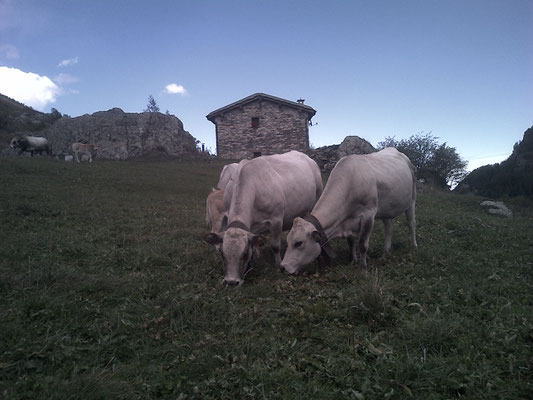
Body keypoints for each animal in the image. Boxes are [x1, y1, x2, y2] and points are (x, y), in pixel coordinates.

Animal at [203, 150, 320, 284]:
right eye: (222, 254)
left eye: (244, 254)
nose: (232, 282)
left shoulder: (276, 220)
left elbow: (275, 246)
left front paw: (278, 265)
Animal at [278, 147, 416, 276]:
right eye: (288, 241)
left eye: (298, 243)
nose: (282, 267)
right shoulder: (348, 219)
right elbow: (351, 242)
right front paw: (353, 259)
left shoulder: (369, 214)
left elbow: (362, 244)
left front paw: (363, 268)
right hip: (386, 209)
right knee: (389, 227)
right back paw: (385, 252)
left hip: (412, 199)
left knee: (411, 223)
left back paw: (414, 246)